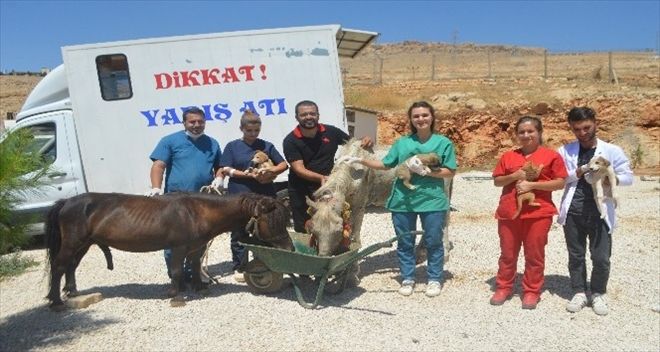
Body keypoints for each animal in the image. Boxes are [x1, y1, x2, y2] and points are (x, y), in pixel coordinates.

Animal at [45, 191, 292, 310]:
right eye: (273, 222)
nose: (289, 247)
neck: (198, 212)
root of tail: (67, 202)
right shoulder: (178, 247)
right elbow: (177, 271)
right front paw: (175, 294)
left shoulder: (196, 247)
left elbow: (194, 265)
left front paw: (200, 287)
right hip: (73, 242)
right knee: (59, 266)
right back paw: (56, 302)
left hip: (84, 243)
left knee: (71, 266)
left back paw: (73, 291)